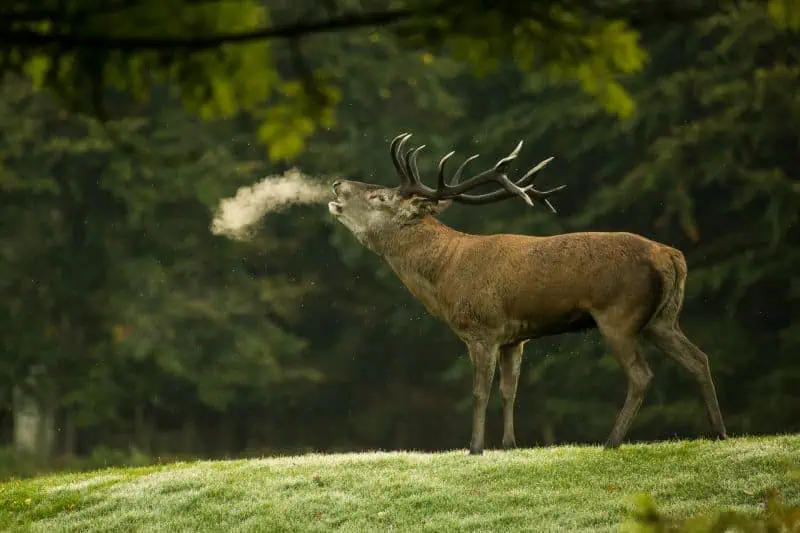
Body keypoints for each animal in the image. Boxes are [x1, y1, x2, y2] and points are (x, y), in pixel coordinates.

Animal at [328, 132, 728, 454]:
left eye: (379, 196)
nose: (336, 184)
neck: (446, 276)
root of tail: (672, 256)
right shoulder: (514, 338)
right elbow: (510, 390)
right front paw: (509, 444)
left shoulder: (482, 329)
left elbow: (480, 392)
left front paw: (475, 448)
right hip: (662, 319)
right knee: (699, 358)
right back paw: (719, 432)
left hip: (619, 315)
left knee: (641, 375)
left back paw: (611, 442)